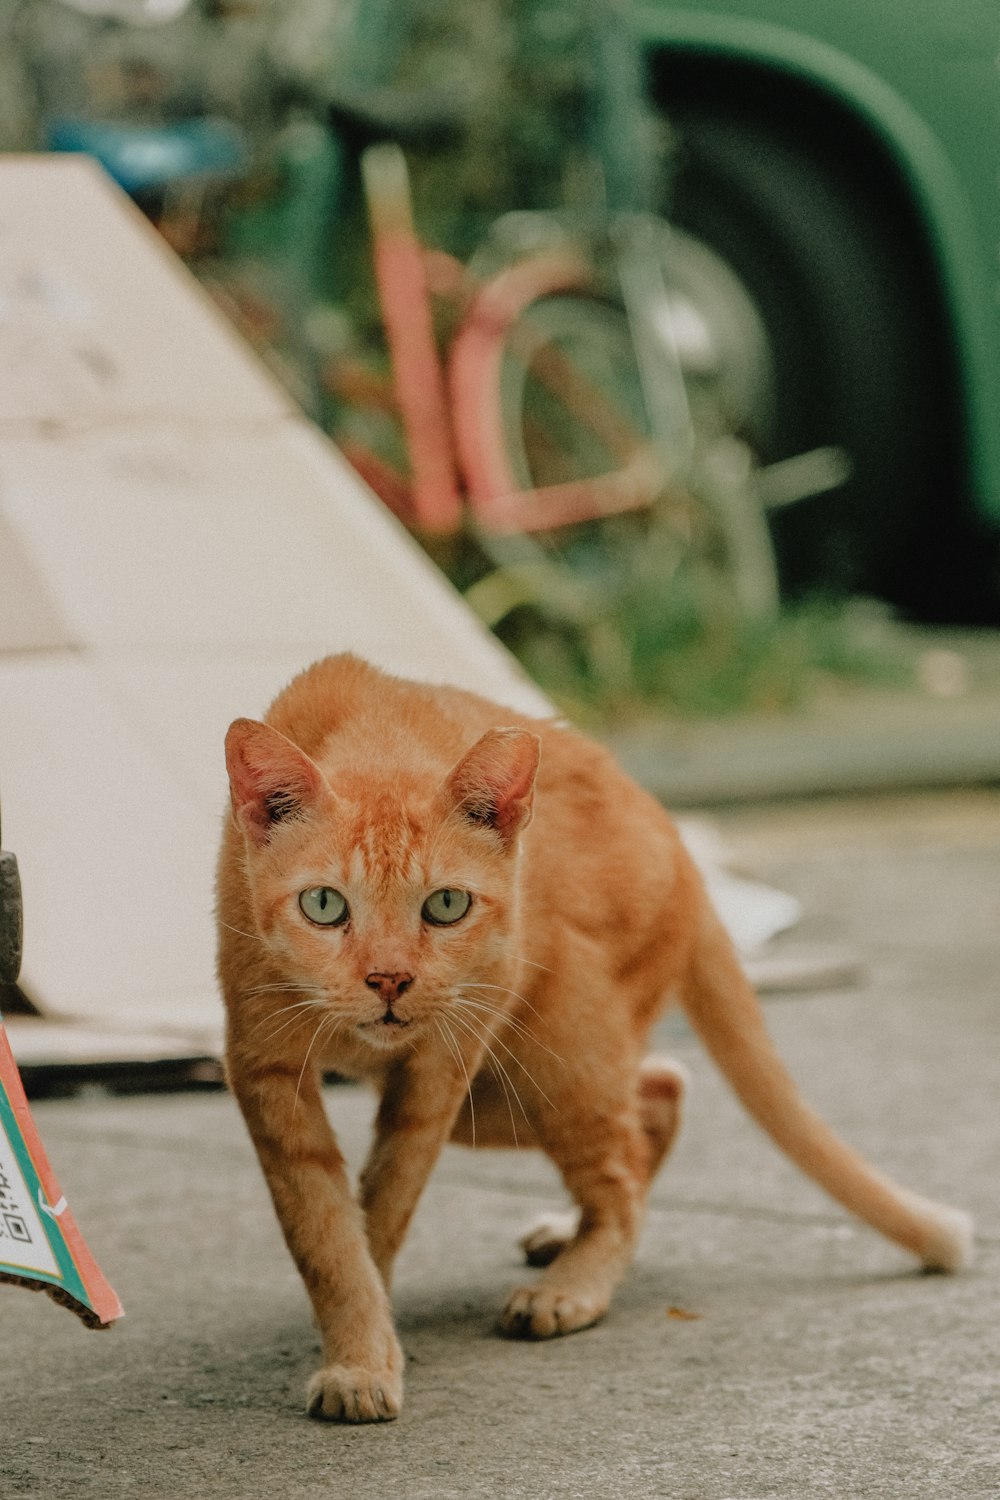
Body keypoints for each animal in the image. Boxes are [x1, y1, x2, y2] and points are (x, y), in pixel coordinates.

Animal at [217, 654, 971, 1416]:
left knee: (625, 1171)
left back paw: (574, 1282)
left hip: (544, 1063)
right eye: (323, 905)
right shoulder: (262, 1066)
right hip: (503, 1096)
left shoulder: (438, 1067)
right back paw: (569, 1230)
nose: (390, 980)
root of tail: (678, 841)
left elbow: (384, 1205)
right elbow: (322, 1227)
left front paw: (365, 1348)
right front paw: (360, 1341)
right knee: (658, 1093)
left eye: (447, 905)